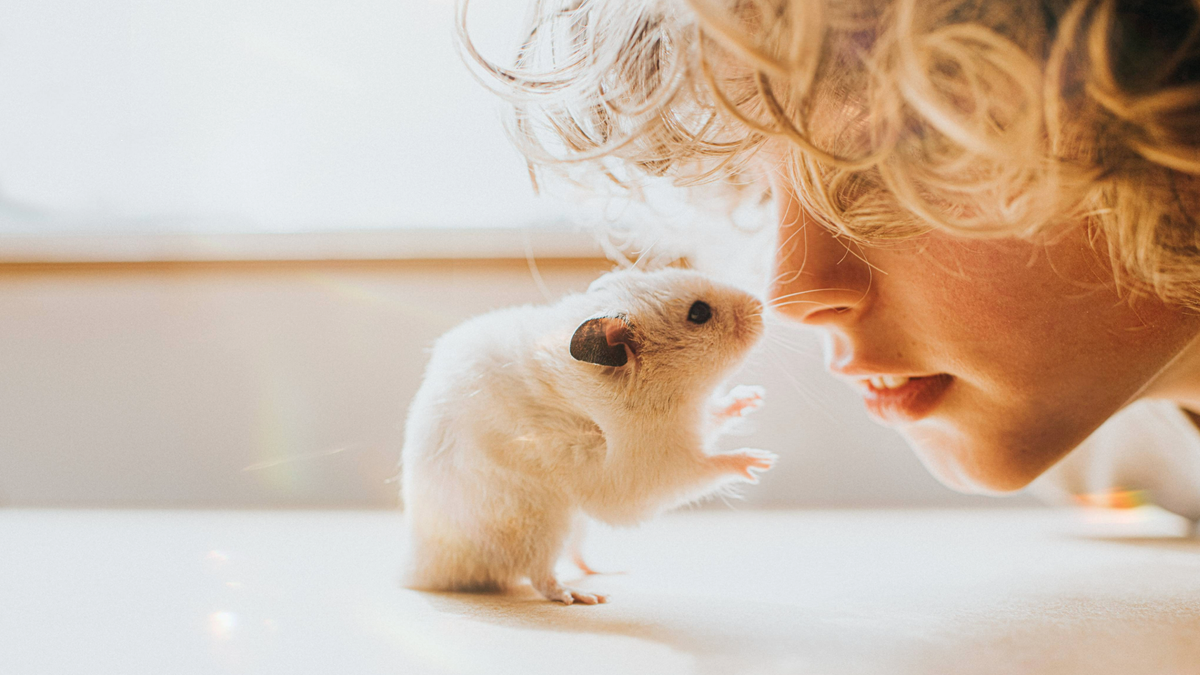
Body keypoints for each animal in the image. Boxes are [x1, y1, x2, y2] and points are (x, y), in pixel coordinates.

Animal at [400, 265, 777, 600]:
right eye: (699, 313)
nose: (761, 306)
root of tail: (421, 572)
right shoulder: (654, 470)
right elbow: (707, 467)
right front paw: (759, 462)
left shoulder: (691, 424)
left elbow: (715, 416)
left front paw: (752, 398)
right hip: (543, 524)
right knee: (539, 575)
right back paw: (579, 595)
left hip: (575, 525)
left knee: (572, 556)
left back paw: (603, 571)